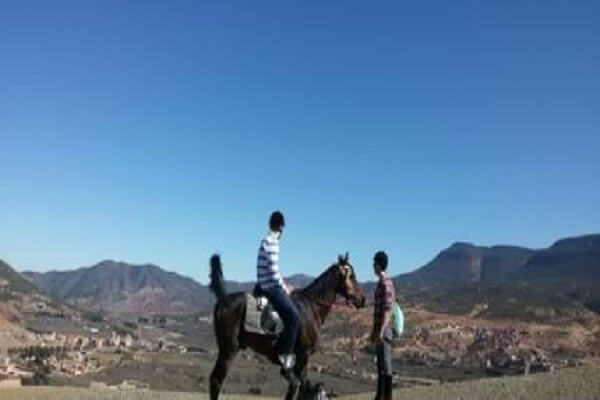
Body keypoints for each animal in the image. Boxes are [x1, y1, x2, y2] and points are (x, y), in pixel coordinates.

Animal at [206, 253, 366, 400]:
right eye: (352, 276)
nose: (362, 300)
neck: (311, 308)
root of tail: (223, 299)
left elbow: (295, 389)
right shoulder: (303, 356)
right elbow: (299, 389)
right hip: (229, 349)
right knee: (216, 380)